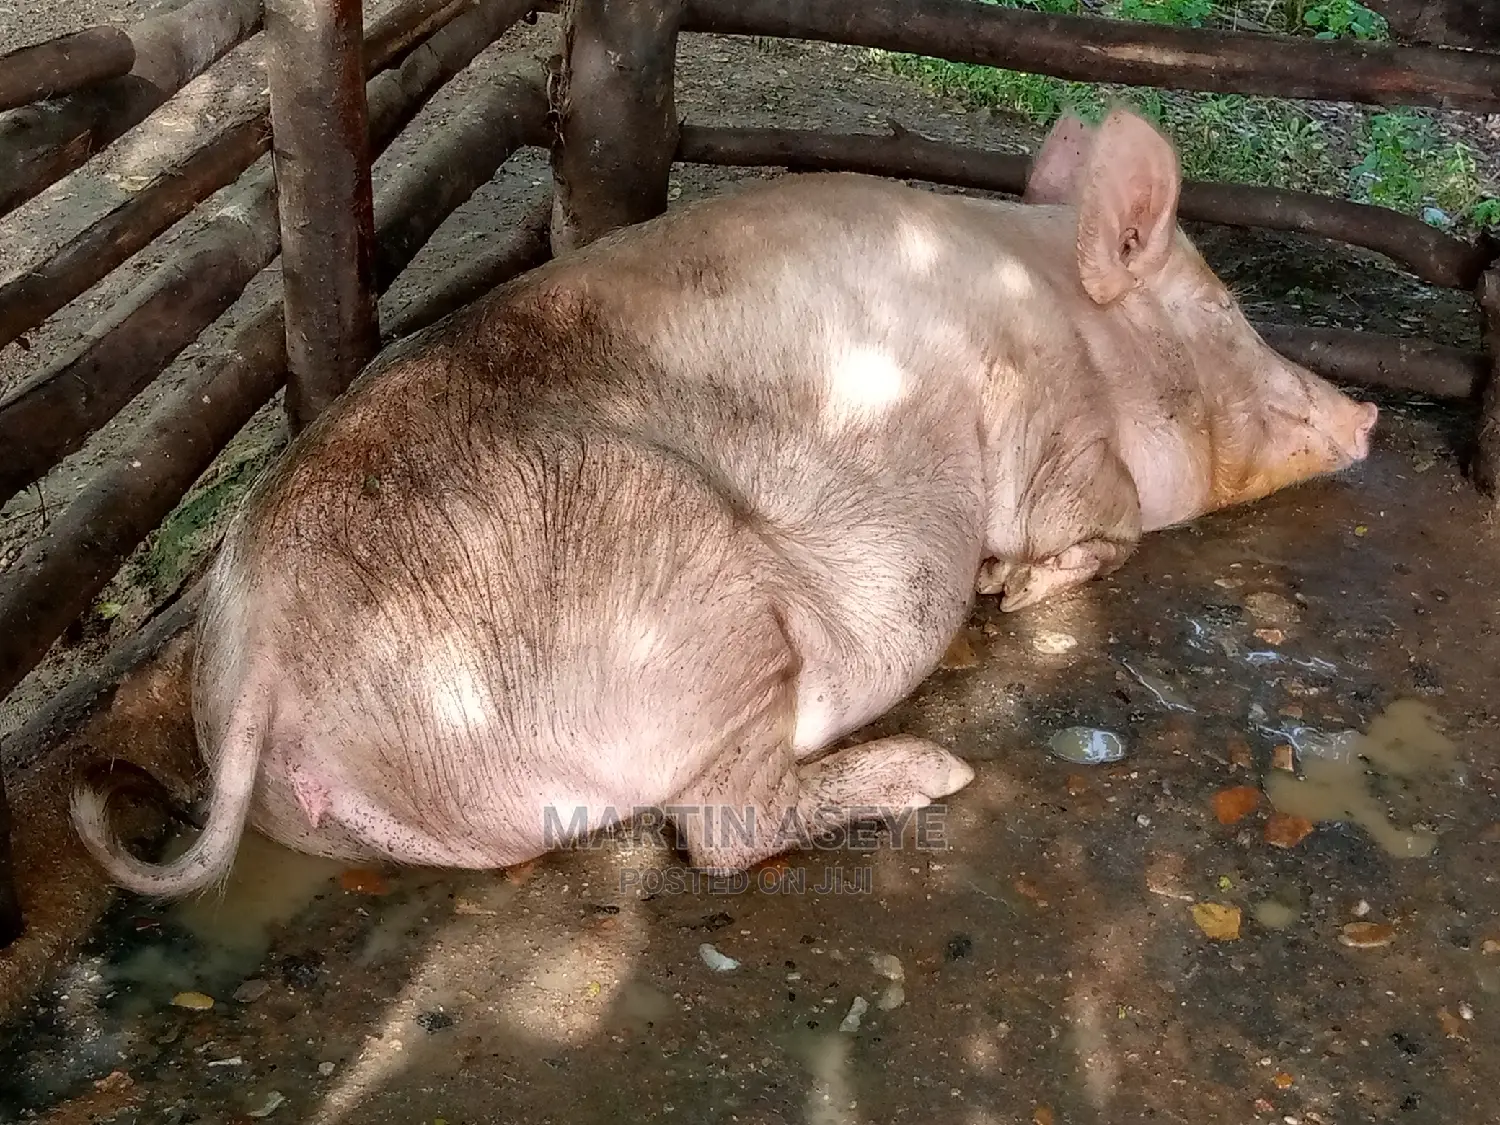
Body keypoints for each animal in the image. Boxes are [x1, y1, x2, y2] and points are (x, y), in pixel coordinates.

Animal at [71, 106, 1376, 897]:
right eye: (1221, 310)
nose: (1364, 415)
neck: (1053, 293)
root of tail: (262, 645)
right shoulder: (1048, 415)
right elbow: (1086, 525)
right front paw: (1015, 585)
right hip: (693, 608)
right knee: (721, 829)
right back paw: (934, 774)